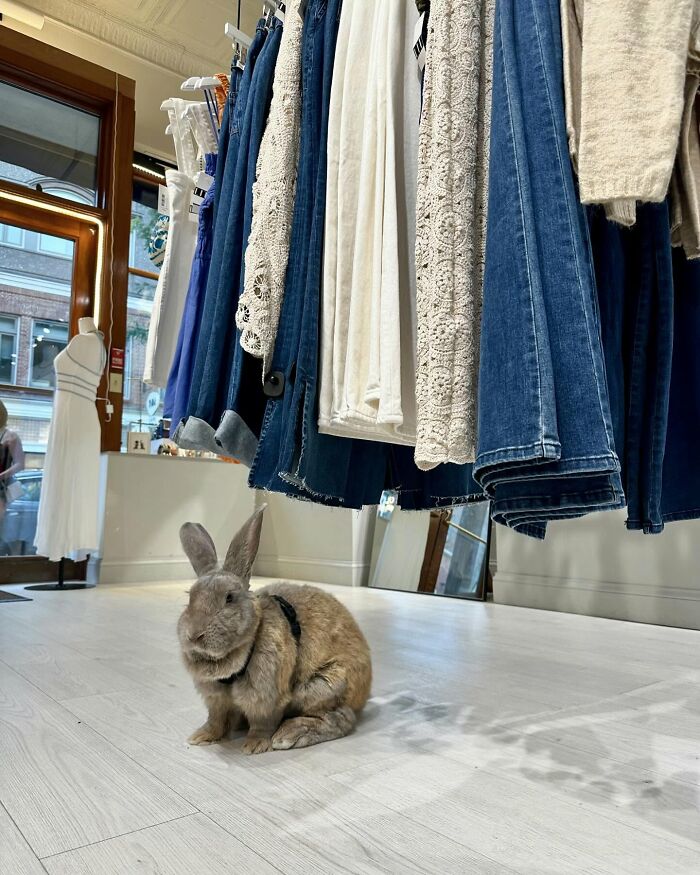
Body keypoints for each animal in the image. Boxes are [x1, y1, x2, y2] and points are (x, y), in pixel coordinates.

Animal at [177, 505, 372, 754]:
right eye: (190, 598)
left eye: (229, 598)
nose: (194, 635)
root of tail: (365, 692)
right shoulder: (216, 701)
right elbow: (216, 721)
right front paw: (201, 737)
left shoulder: (268, 700)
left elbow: (262, 724)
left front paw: (253, 746)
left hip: (324, 686)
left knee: (342, 717)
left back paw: (290, 734)